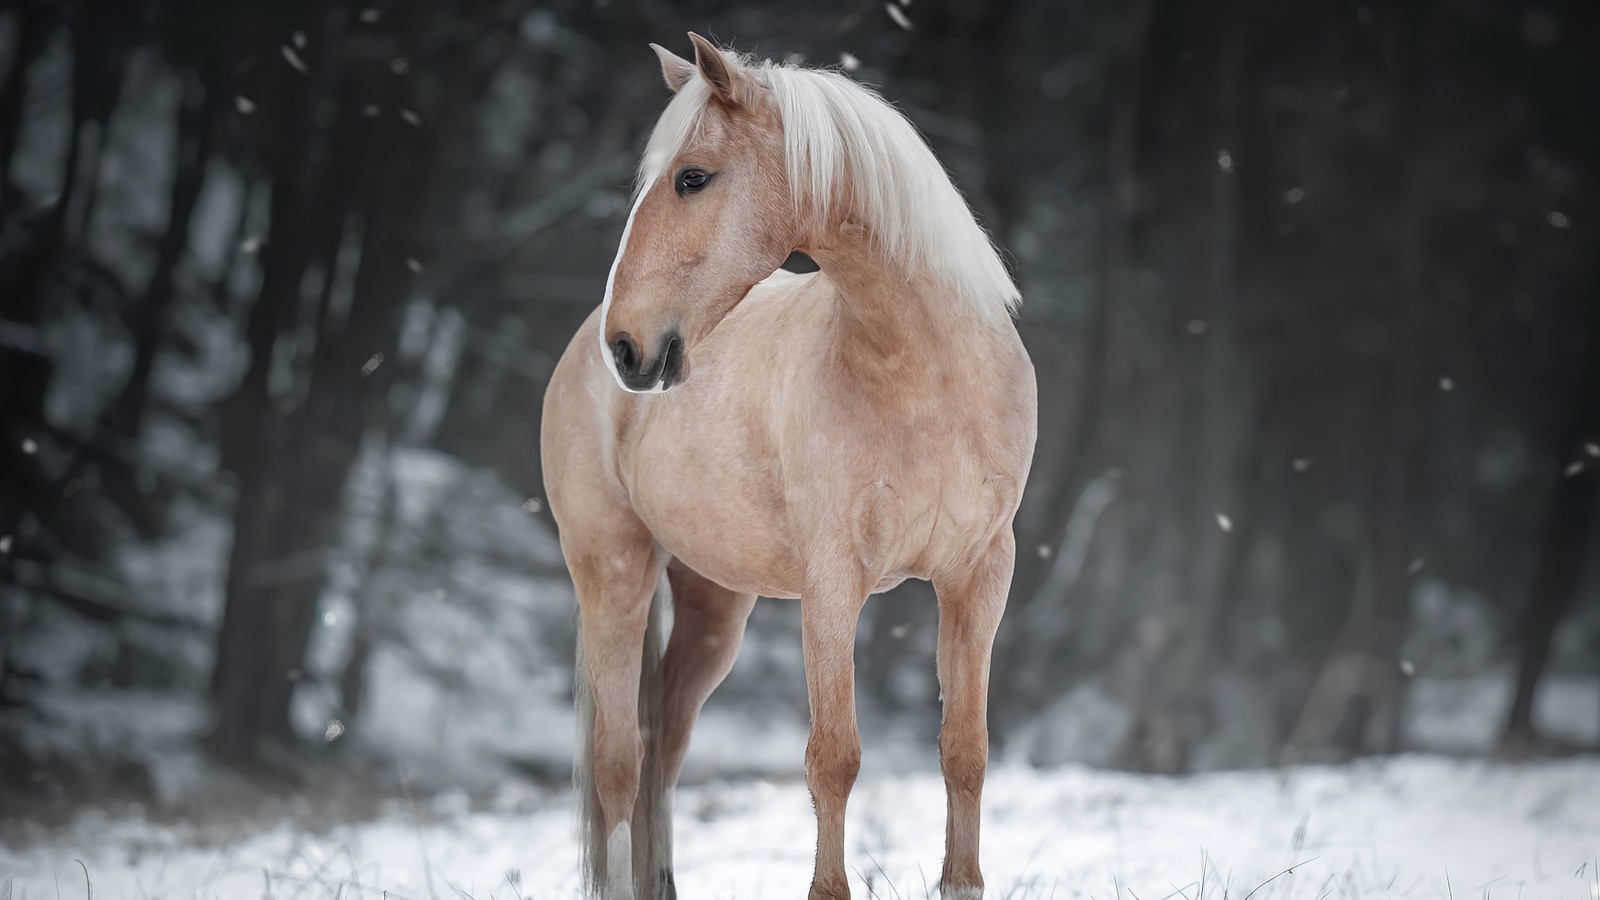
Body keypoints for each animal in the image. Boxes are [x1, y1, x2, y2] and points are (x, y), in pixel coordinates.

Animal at [537, 33, 1036, 896]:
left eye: (692, 177)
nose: (629, 348)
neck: (924, 376)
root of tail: (579, 352)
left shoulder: (979, 576)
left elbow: (964, 752)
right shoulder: (833, 583)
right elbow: (833, 758)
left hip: (714, 606)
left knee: (662, 752)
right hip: (612, 573)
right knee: (619, 765)